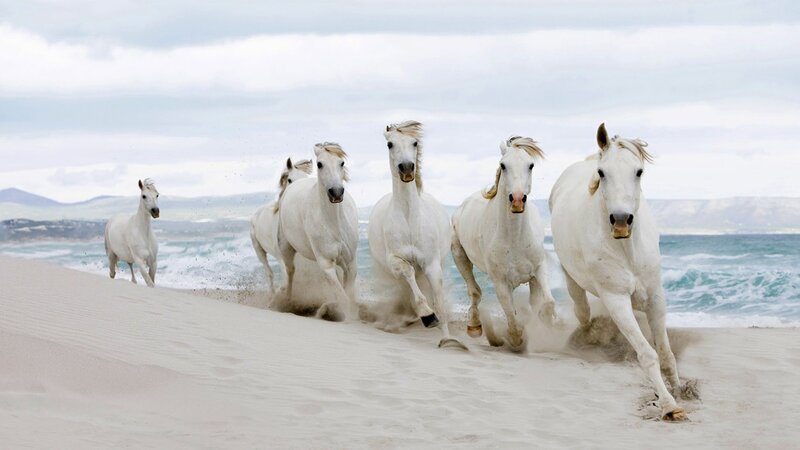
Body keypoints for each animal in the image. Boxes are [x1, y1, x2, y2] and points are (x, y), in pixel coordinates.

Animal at [250, 157, 312, 293]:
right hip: (259, 251)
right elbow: (287, 278)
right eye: (290, 180)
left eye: (305, 178)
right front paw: (282, 293)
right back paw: (272, 295)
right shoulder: (281, 256)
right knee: (269, 273)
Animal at [276, 143, 359, 320]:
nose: (336, 193)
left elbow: (348, 294)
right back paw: (287, 302)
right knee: (290, 272)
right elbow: (344, 297)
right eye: (320, 164)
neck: (335, 224)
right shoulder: (326, 264)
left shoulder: (350, 264)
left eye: (341, 163)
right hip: (286, 249)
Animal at [367, 120, 462, 348]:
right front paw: (427, 315)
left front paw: (449, 340)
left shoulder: (432, 264)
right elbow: (408, 273)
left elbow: (438, 300)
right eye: (390, 144)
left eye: (415, 142)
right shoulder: (395, 261)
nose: (407, 168)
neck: (410, 219)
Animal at [451, 136, 558, 352]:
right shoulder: (500, 281)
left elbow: (547, 302)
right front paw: (516, 339)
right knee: (474, 291)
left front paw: (546, 322)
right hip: (459, 255)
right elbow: (510, 313)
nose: (517, 200)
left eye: (531, 165)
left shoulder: (538, 269)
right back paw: (474, 326)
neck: (515, 239)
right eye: (503, 165)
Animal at [549, 123, 686, 421]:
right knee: (582, 312)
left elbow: (666, 352)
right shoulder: (616, 300)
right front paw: (669, 405)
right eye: (602, 173)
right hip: (573, 281)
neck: (627, 250)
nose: (621, 221)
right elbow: (648, 354)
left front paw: (681, 391)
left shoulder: (655, 297)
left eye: (639, 171)